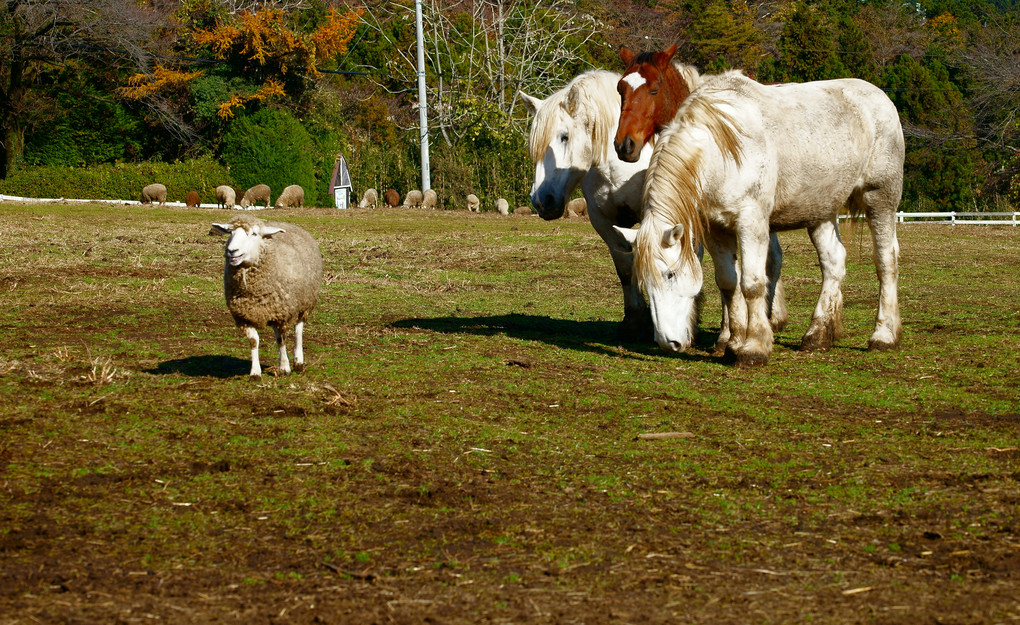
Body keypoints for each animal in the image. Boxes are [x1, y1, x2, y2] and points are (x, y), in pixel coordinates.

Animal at [207, 214, 318, 379]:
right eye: (230, 233)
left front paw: (284, 368)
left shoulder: (283, 314)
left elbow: (281, 340)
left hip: (303, 304)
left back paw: (298, 362)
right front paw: (255, 372)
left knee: (298, 330)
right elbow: (254, 341)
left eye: (254, 234)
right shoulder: (245, 316)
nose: (232, 251)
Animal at [522, 71, 783, 346]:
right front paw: (635, 322)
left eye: (564, 136)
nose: (542, 200)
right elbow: (626, 269)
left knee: (768, 261)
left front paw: (690, 323)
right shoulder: (605, 220)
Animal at [612, 63, 901, 365]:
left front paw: (754, 347)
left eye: (669, 274)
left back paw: (884, 335)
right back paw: (818, 335)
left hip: (880, 198)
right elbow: (729, 284)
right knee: (833, 262)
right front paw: (733, 343)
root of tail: (879, 95)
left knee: (886, 260)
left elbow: (752, 283)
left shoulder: (752, 223)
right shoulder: (717, 230)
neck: (721, 151)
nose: (668, 343)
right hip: (820, 212)